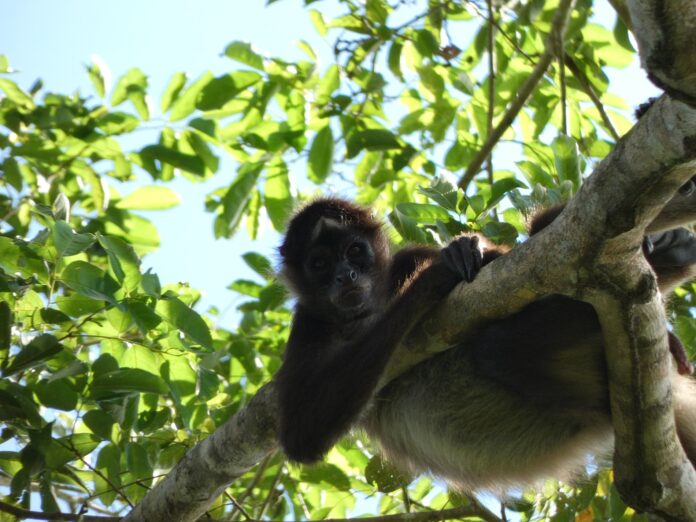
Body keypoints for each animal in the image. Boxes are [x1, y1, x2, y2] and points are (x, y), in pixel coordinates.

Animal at [275, 184, 696, 492]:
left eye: (354, 251)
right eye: (319, 264)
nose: (344, 276)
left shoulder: (406, 259)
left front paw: (461, 251)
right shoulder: (309, 324)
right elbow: (302, 434)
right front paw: (434, 276)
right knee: (498, 349)